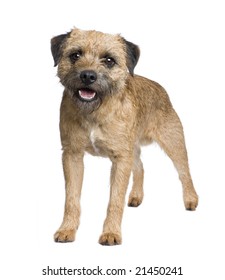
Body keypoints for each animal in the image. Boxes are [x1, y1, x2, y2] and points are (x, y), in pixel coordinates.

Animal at [50, 26, 198, 245]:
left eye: (109, 60)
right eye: (75, 55)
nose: (88, 76)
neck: (95, 112)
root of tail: (161, 88)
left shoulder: (120, 159)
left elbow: (115, 199)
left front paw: (111, 233)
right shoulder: (72, 155)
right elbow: (71, 198)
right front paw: (67, 229)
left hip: (173, 142)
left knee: (184, 172)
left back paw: (190, 199)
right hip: (132, 148)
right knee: (141, 167)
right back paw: (136, 196)